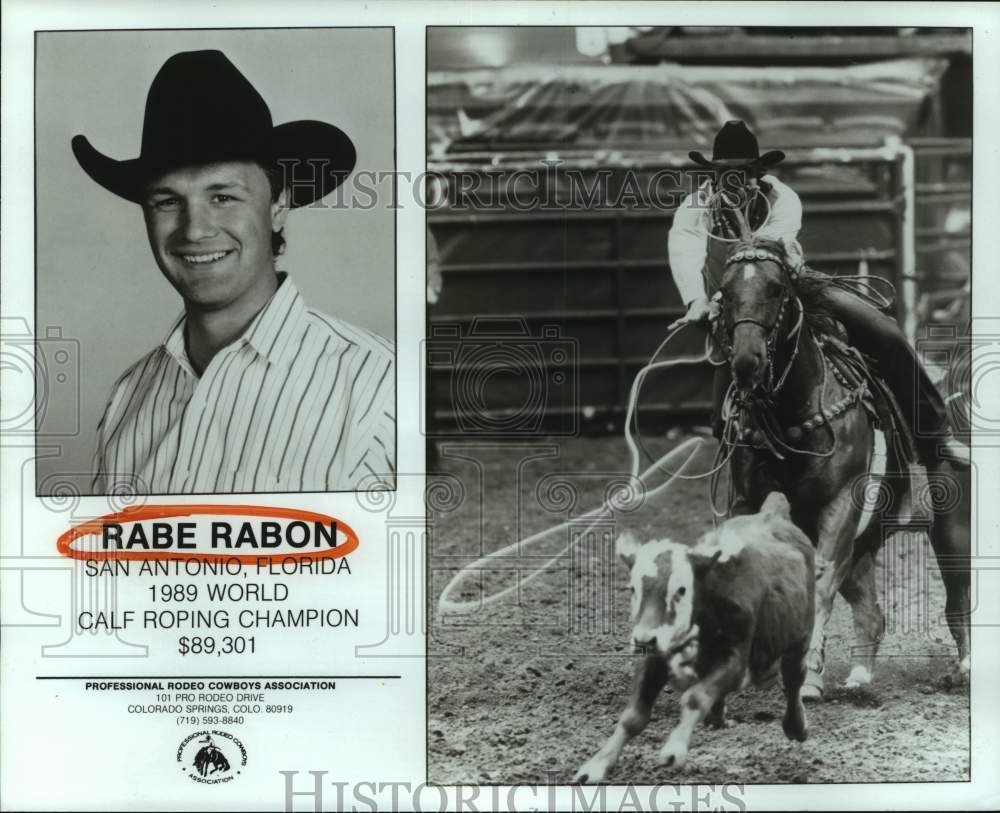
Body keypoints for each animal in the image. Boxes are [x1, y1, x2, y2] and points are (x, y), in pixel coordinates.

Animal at [576, 488, 816, 780]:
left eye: (681, 590)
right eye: (633, 588)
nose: (643, 640)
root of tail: (773, 513)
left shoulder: (735, 660)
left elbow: (695, 698)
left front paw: (674, 750)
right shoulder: (655, 657)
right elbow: (633, 716)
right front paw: (596, 765)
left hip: (800, 639)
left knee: (793, 680)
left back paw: (796, 726)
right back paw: (717, 715)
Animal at [712, 232, 968, 696]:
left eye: (777, 289)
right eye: (726, 293)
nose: (746, 361)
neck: (793, 414)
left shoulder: (842, 503)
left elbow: (819, 577)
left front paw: (808, 672)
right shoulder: (747, 502)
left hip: (952, 530)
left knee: (958, 603)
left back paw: (968, 668)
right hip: (865, 542)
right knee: (872, 613)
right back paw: (859, 679)